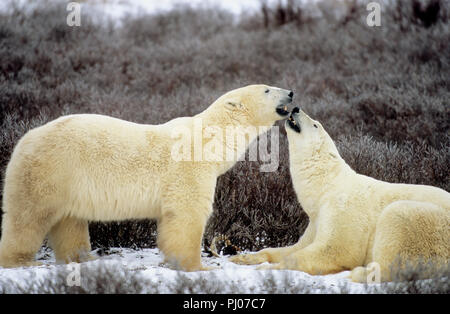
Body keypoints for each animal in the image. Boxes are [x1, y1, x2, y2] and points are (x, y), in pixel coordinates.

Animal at [0, 84, 294, 272]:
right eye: (267, 89)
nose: (291, 92)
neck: (208, 140)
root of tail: (24, 139)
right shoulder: (189, 170)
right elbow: (188, 215)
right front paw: (198, 267)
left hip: (69, 183)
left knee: (69, 221)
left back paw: (84, 259)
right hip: (50, 170)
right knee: (28, 217)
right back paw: (23, 261)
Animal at [232, 106, 450, 280]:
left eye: (316, 125)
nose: (295, 108)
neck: (327, 185)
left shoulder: (341, 209)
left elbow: (334, 250)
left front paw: (268, 268)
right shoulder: (316, 220)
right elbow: (294, 247)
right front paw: (244, 257)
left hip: (426, 225)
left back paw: (362, 272)